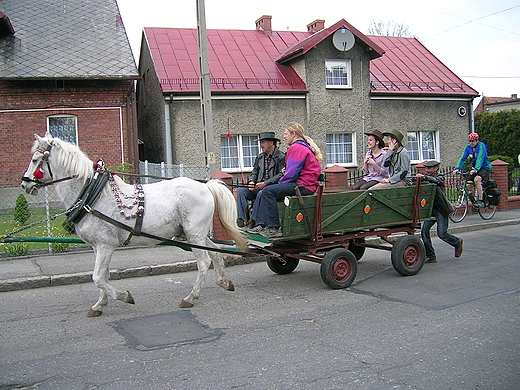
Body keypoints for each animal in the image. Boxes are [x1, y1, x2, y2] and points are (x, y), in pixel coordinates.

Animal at [21, 134, 247, 316]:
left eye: (35, 160)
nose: (25, 184)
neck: (93, 195)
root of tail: (206, 186)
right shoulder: (98, 246)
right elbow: (103, 276)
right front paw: (99, 305)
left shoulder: (106, 245)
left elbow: (97, 277)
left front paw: (123, 296)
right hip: (195, 234)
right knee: (216, 254)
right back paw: (223, 282)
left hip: (194, 235)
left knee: (203, 263)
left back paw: (190, 297)